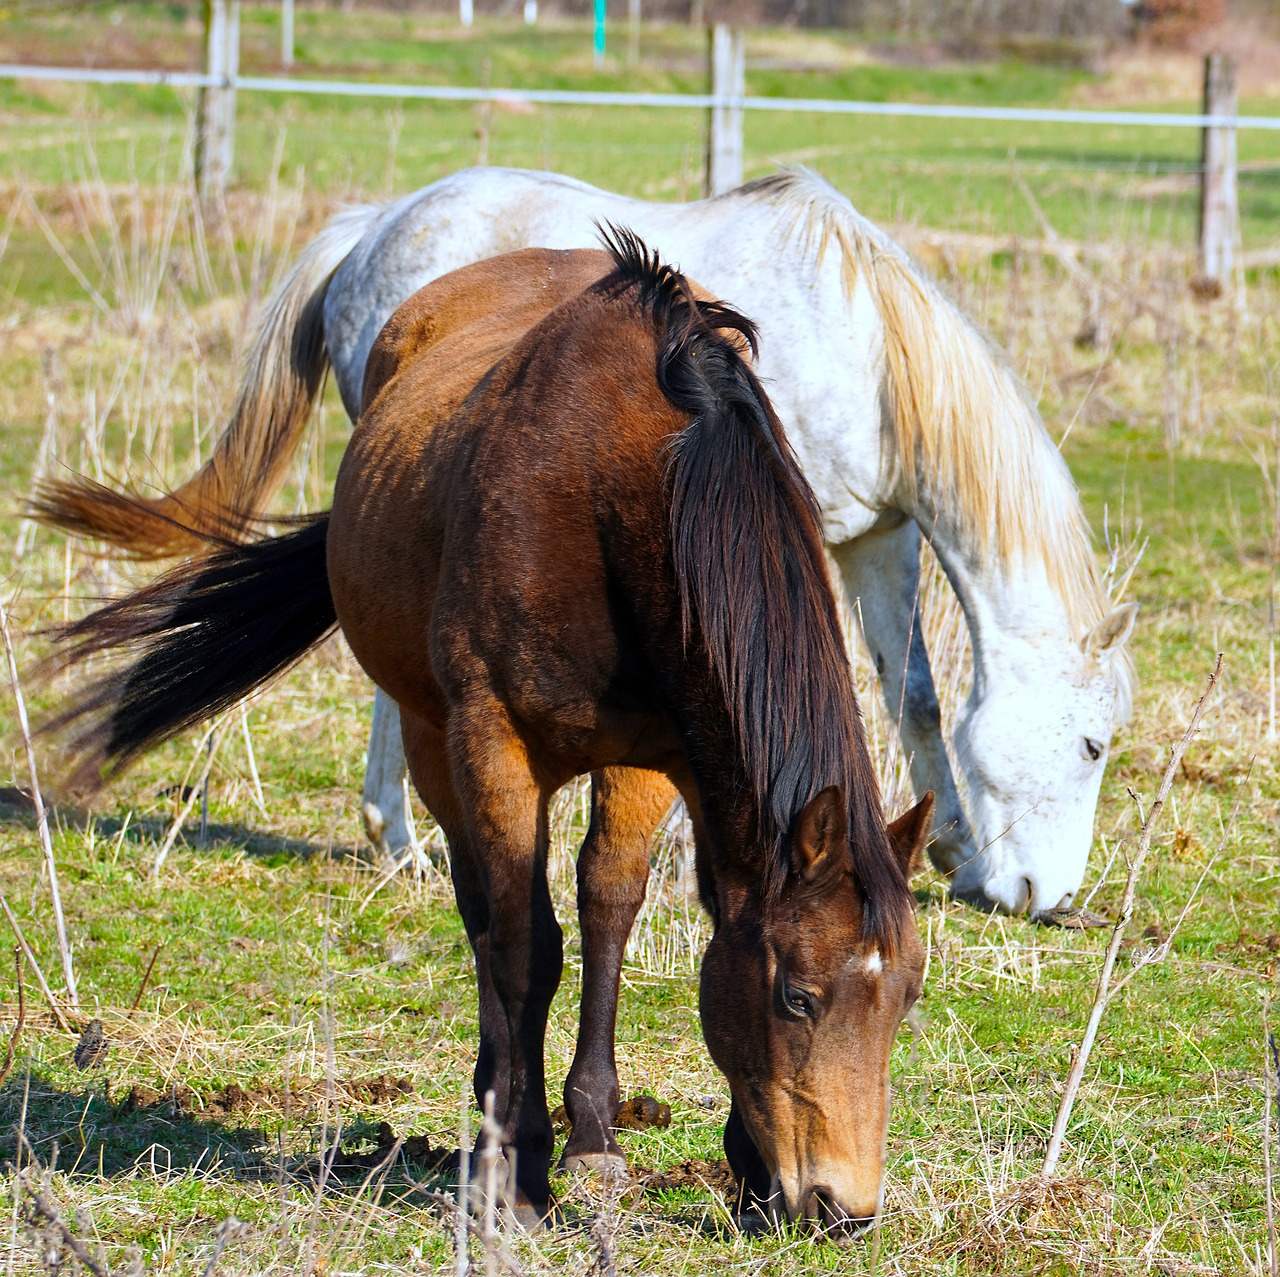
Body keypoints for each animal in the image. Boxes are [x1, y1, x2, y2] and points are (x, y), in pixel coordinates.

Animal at [42, 232, 931, 1238]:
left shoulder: (667, 756)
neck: (625, 488)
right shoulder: (494, 743)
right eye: (798, 995)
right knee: (480, 912)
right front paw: (522, 1167)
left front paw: (636, 1144)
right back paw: (494, 1103)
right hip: (431, 736)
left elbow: (618, 907)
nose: (842, 1206)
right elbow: (524, 946)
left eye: (905, 997)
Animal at [52, 165, 1131, 916]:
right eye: (1089, 744)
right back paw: (400, 839)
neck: (872, 348)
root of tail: (375, 229)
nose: (1042, 897)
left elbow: (914, 695)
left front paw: (950, 848)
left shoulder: (875, 538)